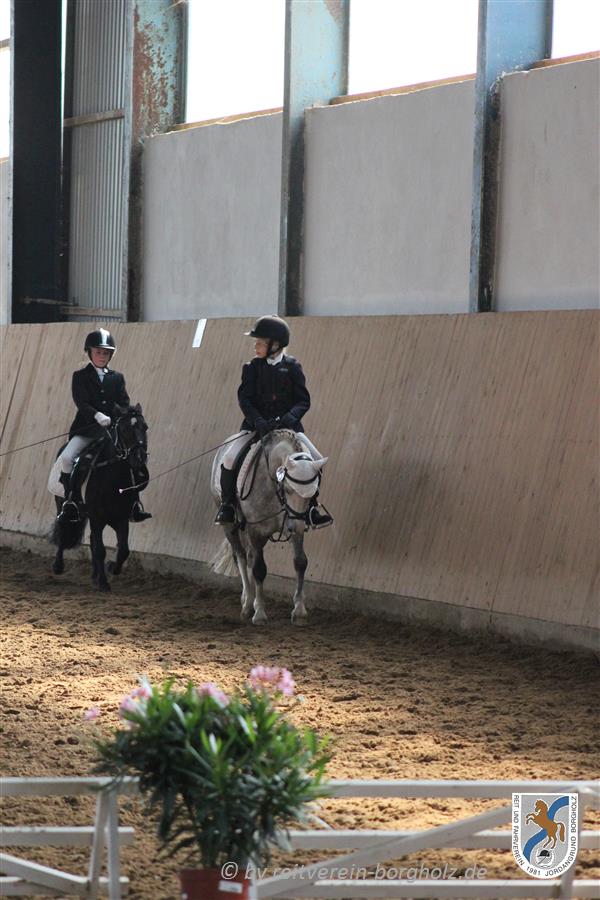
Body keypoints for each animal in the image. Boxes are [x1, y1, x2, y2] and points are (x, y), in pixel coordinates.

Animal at [50, 404, 149, 591]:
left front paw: (111, 568)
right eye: (124, 429)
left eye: (145, 427)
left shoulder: (120, 518)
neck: (112, 477)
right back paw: (58, 566)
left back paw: (95, 575)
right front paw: (104, 583)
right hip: (64, 505)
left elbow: (123, 550)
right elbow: (100, 550)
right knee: (63, 529)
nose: (139, 459)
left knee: (91, 541)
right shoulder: (97, 517)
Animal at [211, 429, 328, 626]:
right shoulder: (255, 531)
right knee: (241, 557)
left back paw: (248, 598)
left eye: (314, 492)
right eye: (288, 489)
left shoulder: (293, 524)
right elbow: (259, 569)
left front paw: (299, 611)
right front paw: (259, 613)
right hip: (230, 525)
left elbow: (300, 562)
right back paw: (248, 603)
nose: (297, 526)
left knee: (249, 557)